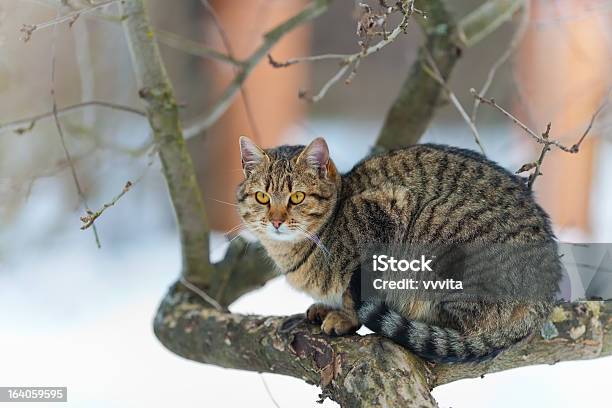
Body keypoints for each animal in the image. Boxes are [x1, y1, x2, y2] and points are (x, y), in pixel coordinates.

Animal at [237, 137, 560, 364]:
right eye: (262, 197)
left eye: (297, 197)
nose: (276, 221)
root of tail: (543, 301)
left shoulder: (387, 213)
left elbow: (355, 293)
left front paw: (345, 317)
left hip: (436, 225)